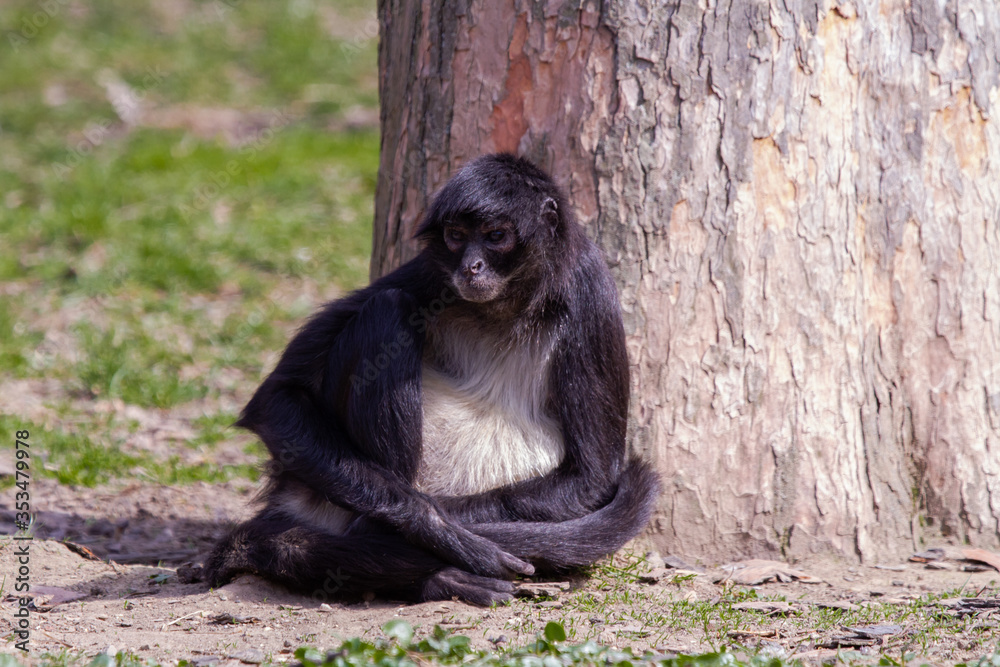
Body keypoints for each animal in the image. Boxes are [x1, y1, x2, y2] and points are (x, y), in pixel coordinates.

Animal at [204, 153, 660, 605]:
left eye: (496, 236)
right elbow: (277, 398)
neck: (504, 306)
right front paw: (442, 531)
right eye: (456, 236)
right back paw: (426, 573)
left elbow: (591, 478)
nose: (471, 266)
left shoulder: (589, 286)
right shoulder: (430, 272)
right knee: (387, 308)